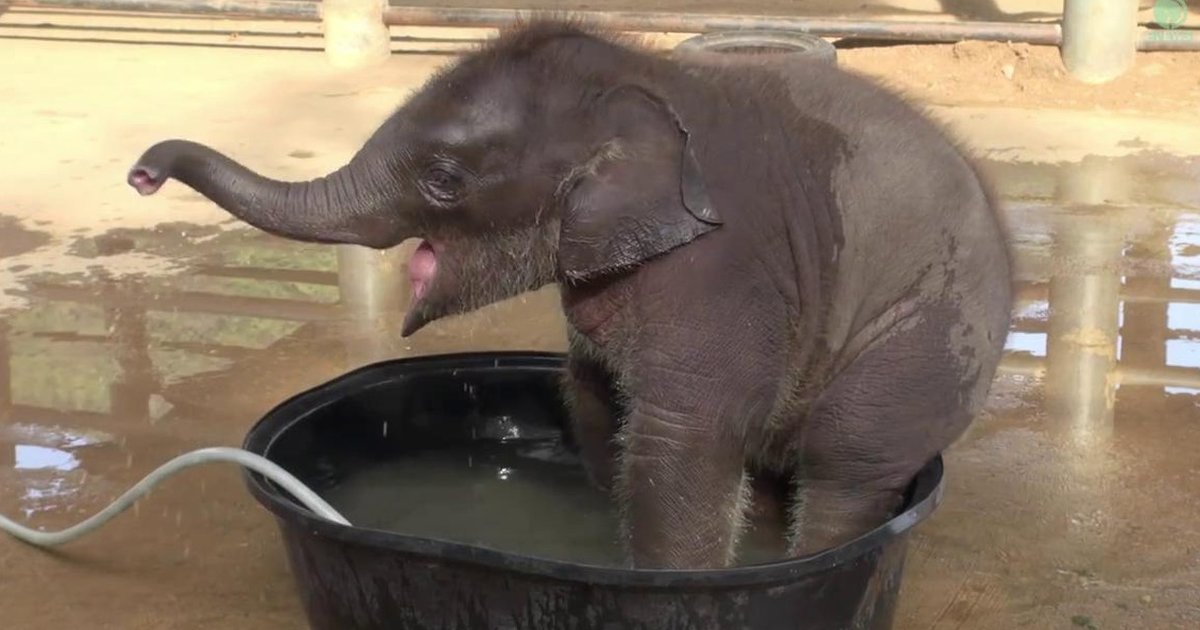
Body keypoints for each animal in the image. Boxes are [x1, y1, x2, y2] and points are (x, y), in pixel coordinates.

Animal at [126, 19, 1012, 568]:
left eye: (443, 181)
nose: (141, 173)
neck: (648, 76)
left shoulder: (727, 270)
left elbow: (682, 437)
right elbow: (588, 392)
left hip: (924, 344)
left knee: (845, 467)